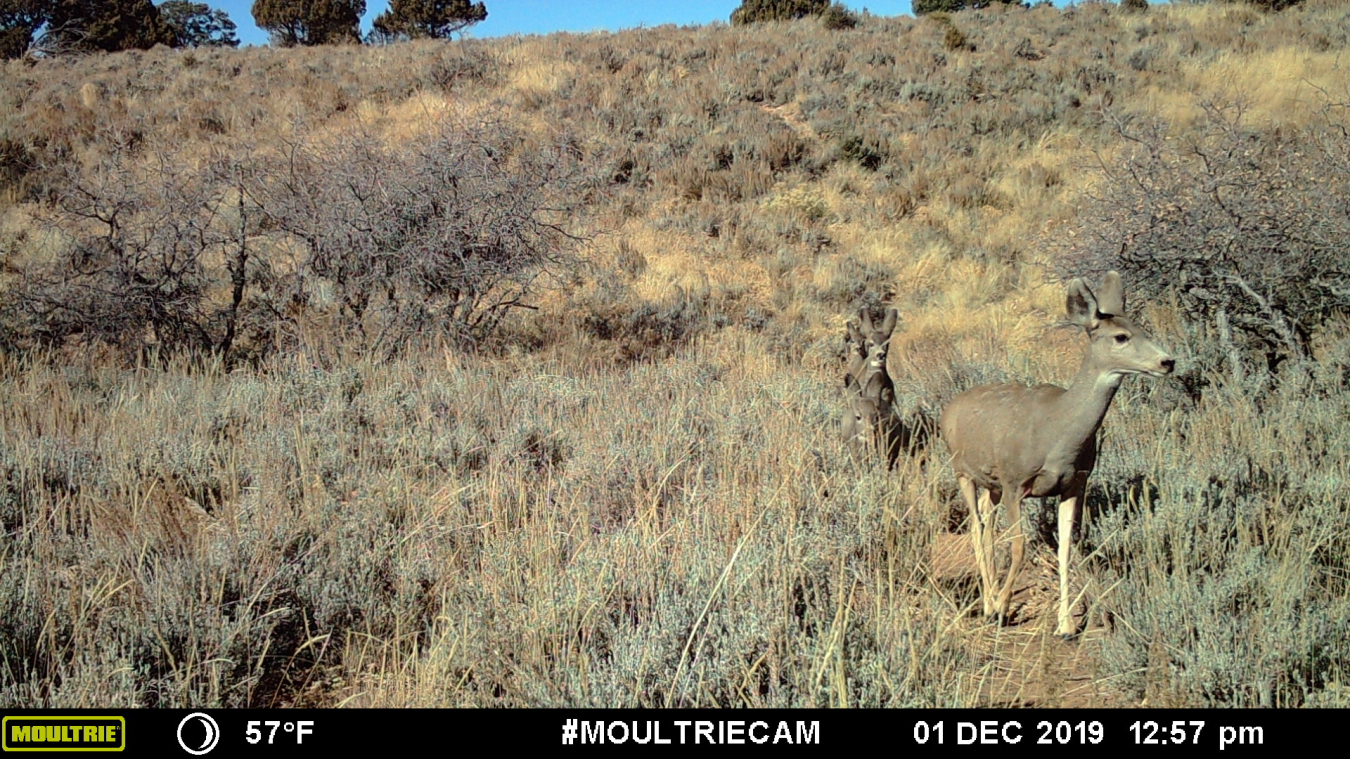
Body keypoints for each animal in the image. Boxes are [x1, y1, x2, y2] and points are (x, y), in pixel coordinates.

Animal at [939, 271, 1171, 632]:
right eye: (1121, 336)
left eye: (1142, 328)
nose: (1167, 361)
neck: (1058, 433)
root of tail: (948, 409)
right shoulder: (1014, 482)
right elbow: (1019, 547)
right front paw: (1003, 608)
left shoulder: (1075, 483)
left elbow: (1065, 548)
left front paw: (1065, 625)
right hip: (961, 470)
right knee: (977, 529)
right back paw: (990, 605)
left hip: (990, 484)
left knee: (986, 524)